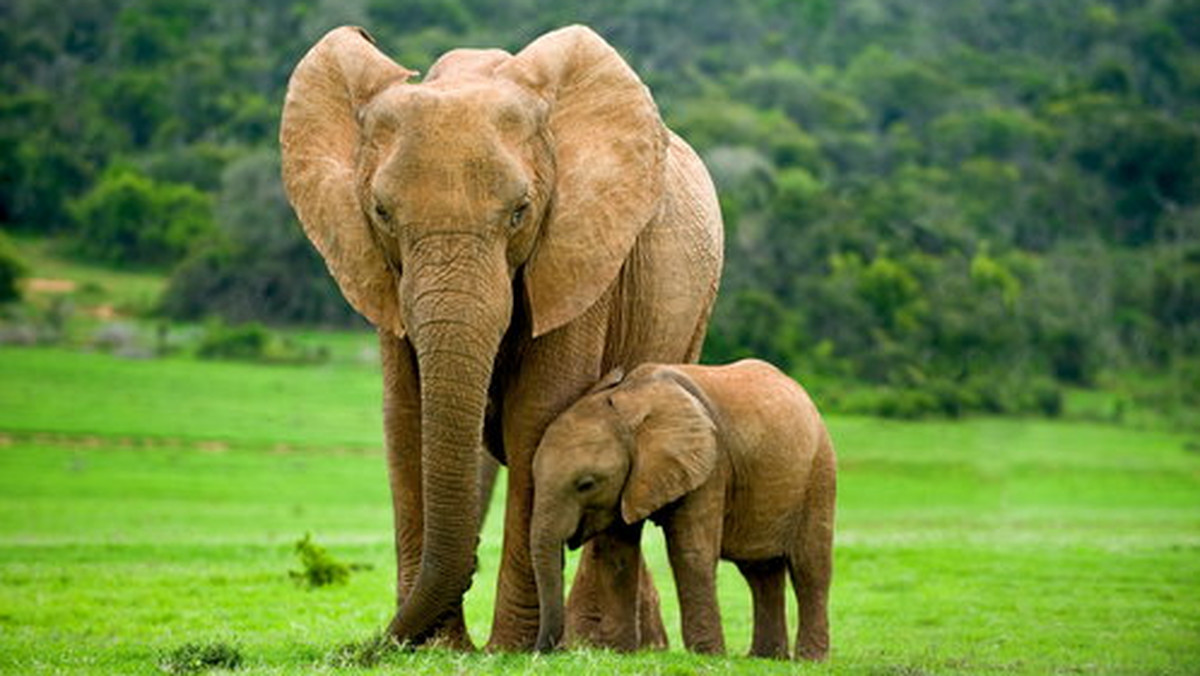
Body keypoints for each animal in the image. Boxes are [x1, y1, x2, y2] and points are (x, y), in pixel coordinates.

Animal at [280, 25, 720, 648]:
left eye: (520, 212)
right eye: (382, 213)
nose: (370, 647)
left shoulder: (579, 250)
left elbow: (538, 413)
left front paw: (510, 649)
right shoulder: (381, 274)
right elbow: (406, 415)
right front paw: (437, 648)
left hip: (694, 308)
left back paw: (599, 644)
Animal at [535, 360, 835, 662]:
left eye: (586, 484)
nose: (542, 652)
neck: (629, 400)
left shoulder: (709, 465)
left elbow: (691, 552)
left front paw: (708, 656)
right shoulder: (627, 485)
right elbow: (616, 555)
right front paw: (620, 652)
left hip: (819, 471)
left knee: (809, 567)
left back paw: (809, 659)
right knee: (760, 571)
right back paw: (765, 658)